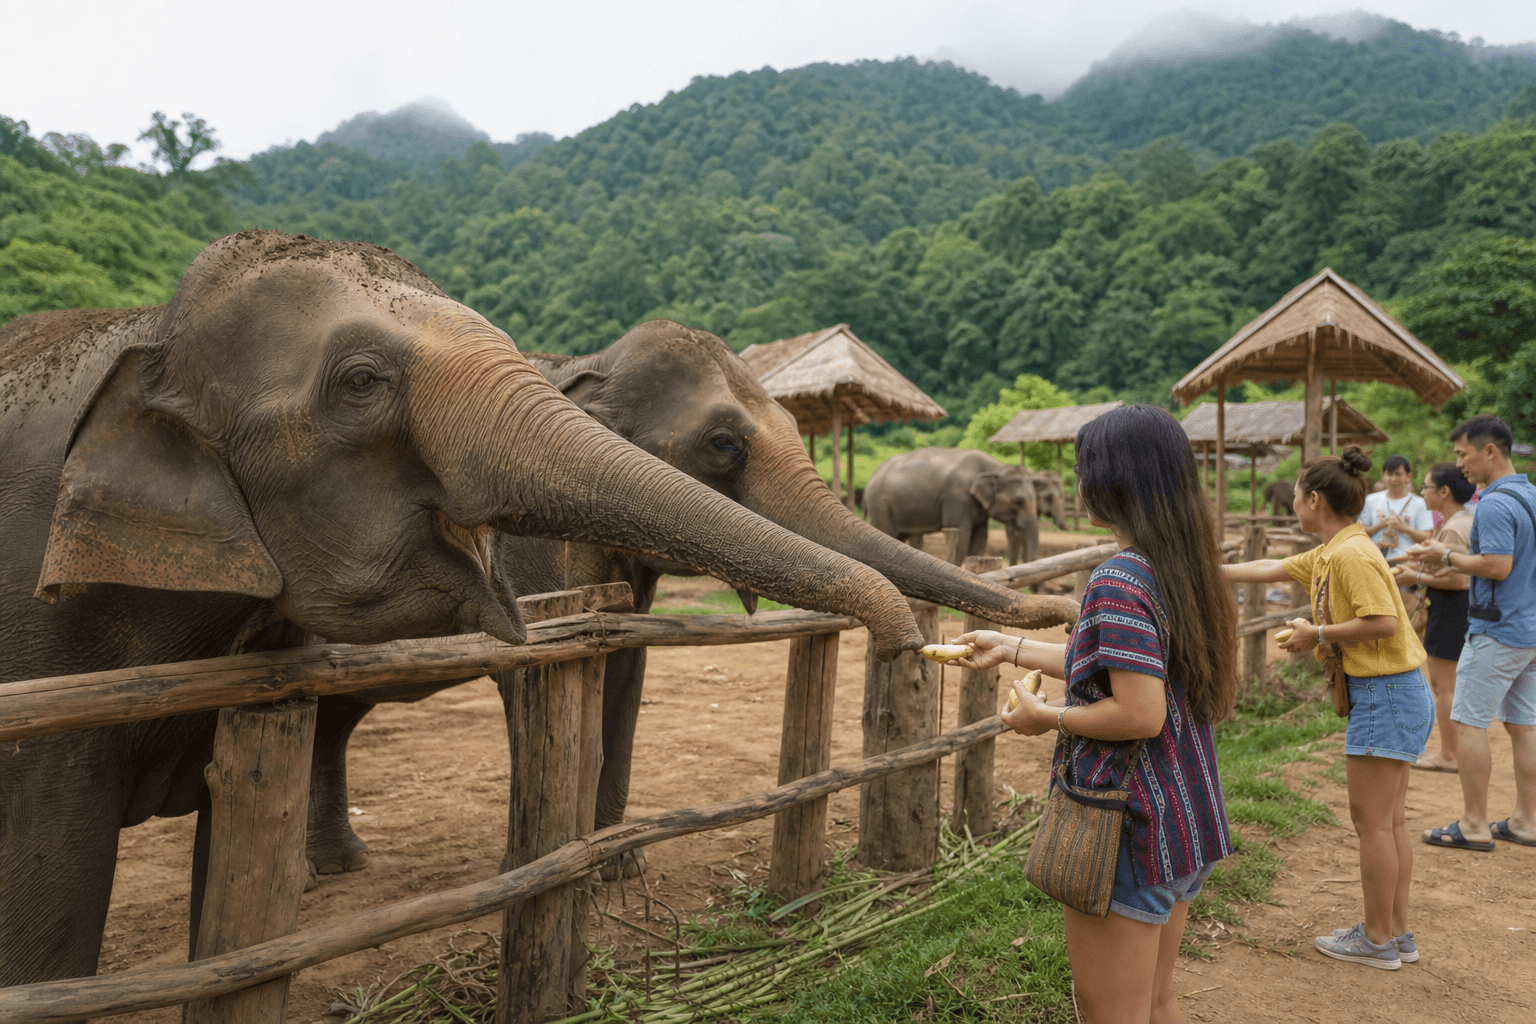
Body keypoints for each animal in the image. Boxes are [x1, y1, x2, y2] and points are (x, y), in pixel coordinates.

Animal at [0, 233, 930, 987]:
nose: (910, 650)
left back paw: (333, 869)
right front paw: (556, 864)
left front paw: (618, 869)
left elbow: (624, 678)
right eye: (725, 445)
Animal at [865, 448, 1039, 567]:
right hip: (880, 506)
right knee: (885, 533)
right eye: (1018, 501)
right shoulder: (957, 498)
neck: (996, 467)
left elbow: (980, 538)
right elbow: (962, 535)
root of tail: (871, 478)